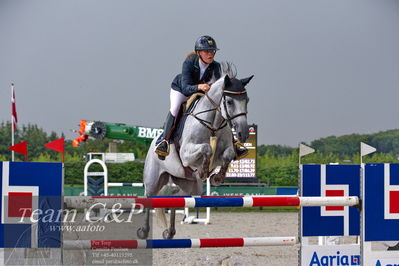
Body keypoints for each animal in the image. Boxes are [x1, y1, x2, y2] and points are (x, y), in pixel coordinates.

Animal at [138, 64, 255, 239]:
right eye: (229, 101)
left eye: (246, 100)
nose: (243, 134)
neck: (213, 124)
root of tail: (153, 143)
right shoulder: (186, 153)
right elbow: (206, 148)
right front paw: (203, 171)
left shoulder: (223, 153)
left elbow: (227, 154)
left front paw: (216, 178)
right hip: (153, 179)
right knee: (149, 197)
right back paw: (144, 231)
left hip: (188, 185)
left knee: (175, 197)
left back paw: (169, 231)